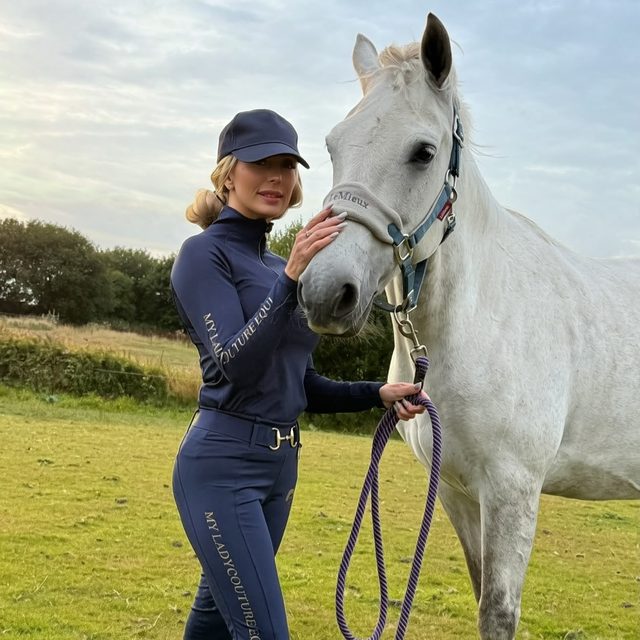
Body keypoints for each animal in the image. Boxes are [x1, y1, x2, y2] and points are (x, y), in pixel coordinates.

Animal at [298, 13, 640, 640]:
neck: (481, 319)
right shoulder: (457, 492)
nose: (326, 293)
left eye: (424, 151)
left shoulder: (511, 492)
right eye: (333, 145)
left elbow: (497, 610)